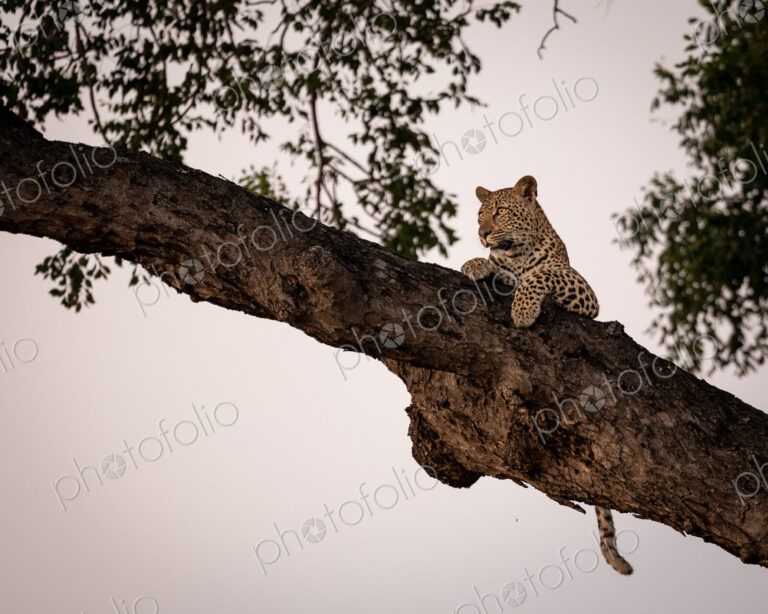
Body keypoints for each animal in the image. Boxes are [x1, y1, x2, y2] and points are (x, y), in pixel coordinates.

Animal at [461, 175, 633, 576]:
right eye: (479, 214)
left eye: (500, 211)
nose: (482, 233)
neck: (516, 252)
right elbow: (497, 268)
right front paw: (475, 263)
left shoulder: (581, 291)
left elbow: (541, 273)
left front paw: (523, 311)